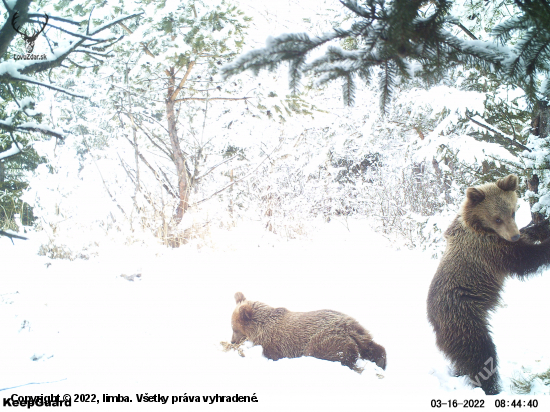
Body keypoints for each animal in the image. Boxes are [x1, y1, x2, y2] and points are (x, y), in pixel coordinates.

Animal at [232, 292, 388, 372]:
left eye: (234, 329)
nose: (232, 341)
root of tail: (347, 327)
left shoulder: (276, 343)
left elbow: (272, 354)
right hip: (359, 332)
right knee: (372, 346)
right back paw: (381, 361)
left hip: (324, 339)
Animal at [432, 173, 550, 392]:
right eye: (497, 218)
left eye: (512, 212)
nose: (514, 236)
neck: (478, 226)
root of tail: (433, 320)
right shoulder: (489, 249)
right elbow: (525, 259)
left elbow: (529, 234)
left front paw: (542, 225)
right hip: (465, 319)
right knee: (481, 354)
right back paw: (492, 388)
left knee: (463, 359)